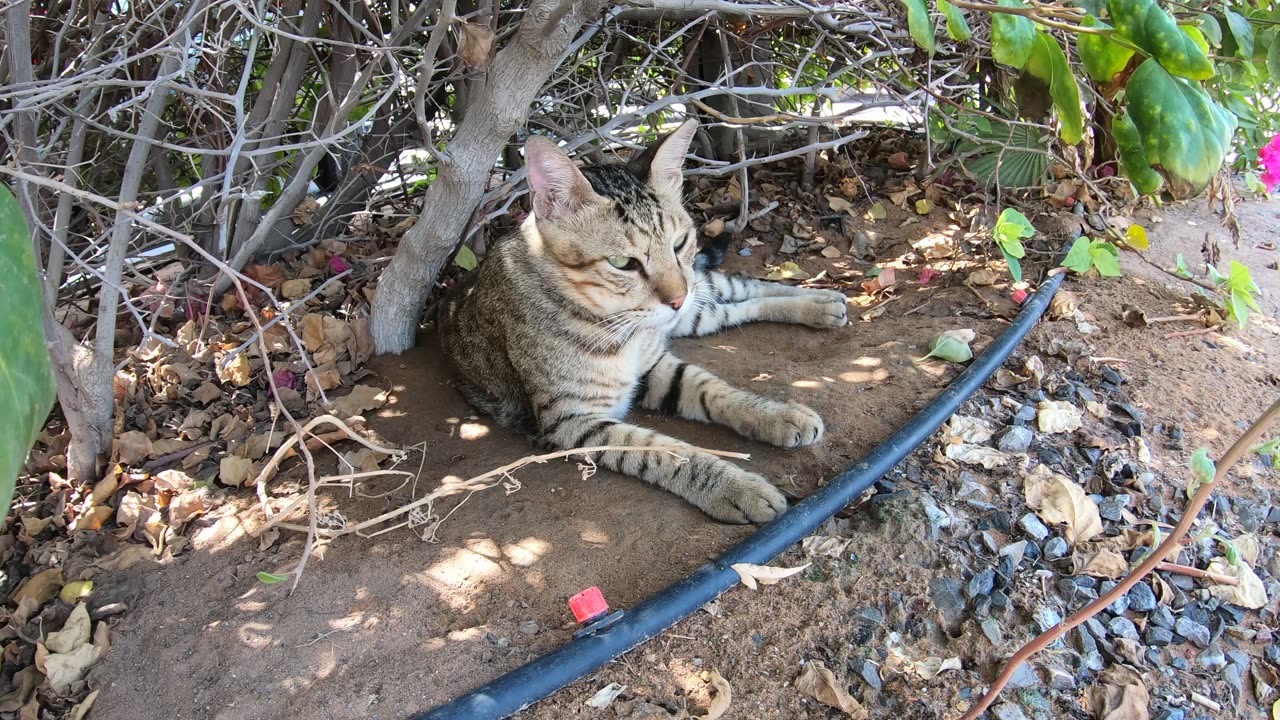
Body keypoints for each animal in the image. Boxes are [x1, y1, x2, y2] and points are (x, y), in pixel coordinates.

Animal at [440, 119, 849, 520]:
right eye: (623, 263)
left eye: (680, 242)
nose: (678, 299)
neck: (616, 329)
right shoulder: (573, 422)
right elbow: (664, 450)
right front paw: (735, 487)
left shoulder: (657, 363)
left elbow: (716, 390)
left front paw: (777, 415)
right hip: (698, 313)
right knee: (738, 306)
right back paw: (822, 304)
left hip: (700, 298)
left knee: (741, 288)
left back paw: (821, 301)